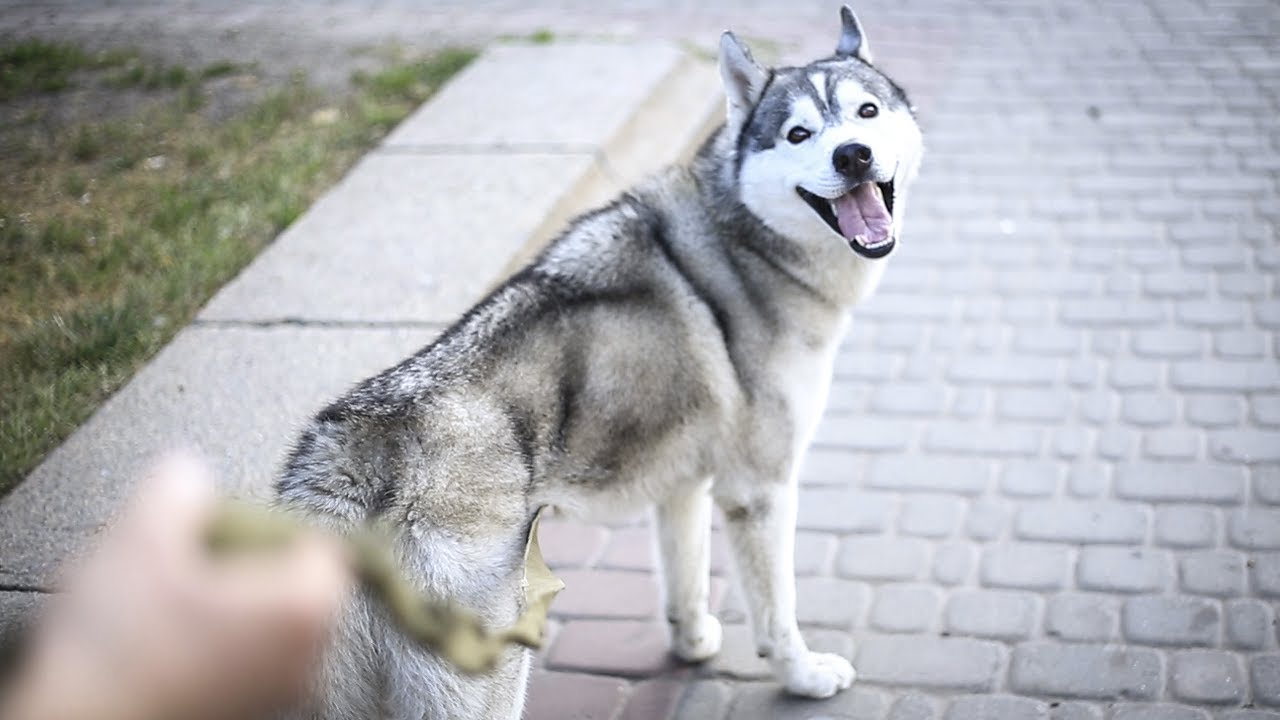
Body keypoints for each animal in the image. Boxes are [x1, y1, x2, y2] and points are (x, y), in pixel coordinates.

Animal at [277, 7, 921, 717]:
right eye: (798, 133)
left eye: (866, 111)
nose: (852, 154)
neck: (746, 238)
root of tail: (361, 447)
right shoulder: (759, 491)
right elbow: (777, 613)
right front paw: (802, 676)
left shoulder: (683, 484)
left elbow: (685, 582)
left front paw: (692, 644)